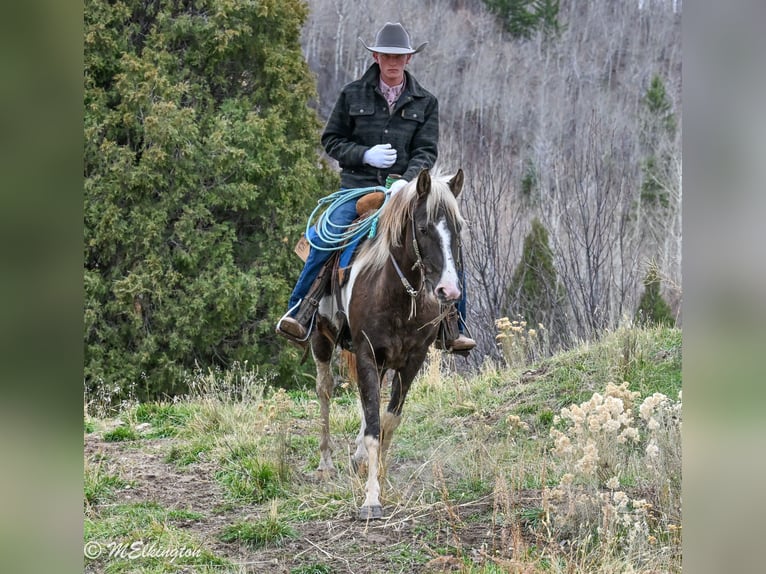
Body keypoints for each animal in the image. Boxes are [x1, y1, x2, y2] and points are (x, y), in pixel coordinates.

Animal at [309, 168, 465, 520]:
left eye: (458, 228)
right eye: (423, 228)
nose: (449, 291)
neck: (396, 294)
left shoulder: (412, 360)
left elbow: (387, 422)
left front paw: (379, 475)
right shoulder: (367, 353)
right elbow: (373, 427)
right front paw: (371, 499)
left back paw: (356, 460)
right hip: (322, 337)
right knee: (325, 390)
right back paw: (325, 464)